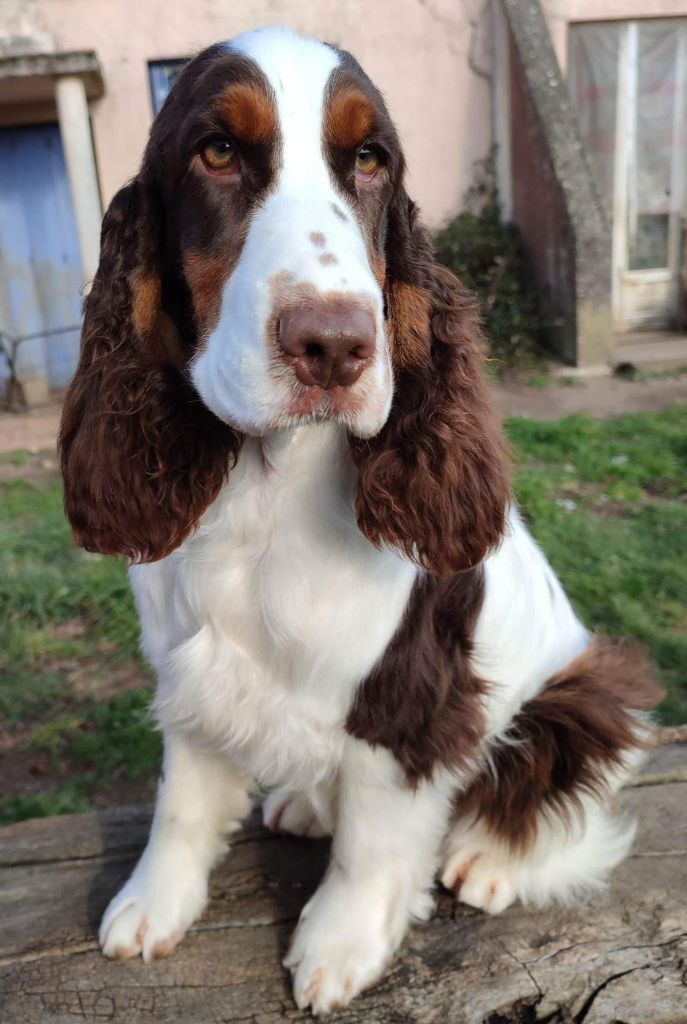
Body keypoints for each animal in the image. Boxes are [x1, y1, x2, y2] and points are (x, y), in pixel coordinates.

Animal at [61, 24, 663, 1015]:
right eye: (216, 151)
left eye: (370, 159)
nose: (335, 345)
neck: (266, 485)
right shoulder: (191, 667)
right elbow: (184, 796)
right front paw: (152, 906)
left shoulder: (413, 696)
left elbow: (375, 840)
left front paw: (338, 946)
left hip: (583, 690)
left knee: (560, 794)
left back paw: (489, 860)